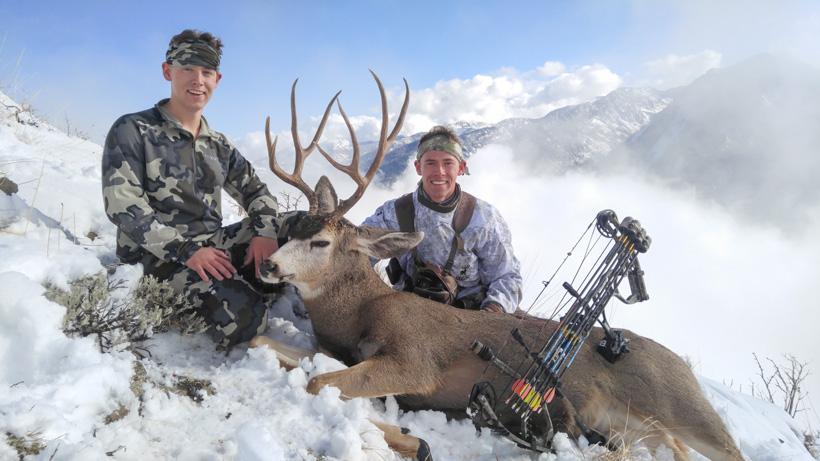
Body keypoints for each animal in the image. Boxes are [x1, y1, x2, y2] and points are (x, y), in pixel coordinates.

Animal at [249, 72, 745, 461]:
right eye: (290, 229)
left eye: (321, 241)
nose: (268, 265)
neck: (358, 314)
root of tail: (684, 366)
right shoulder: (339, 351)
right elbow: (267, 344)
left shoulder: (415, 360)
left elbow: (319, 384)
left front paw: (413, 439)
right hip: (638, 428)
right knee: (670, 448)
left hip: (687, 408)